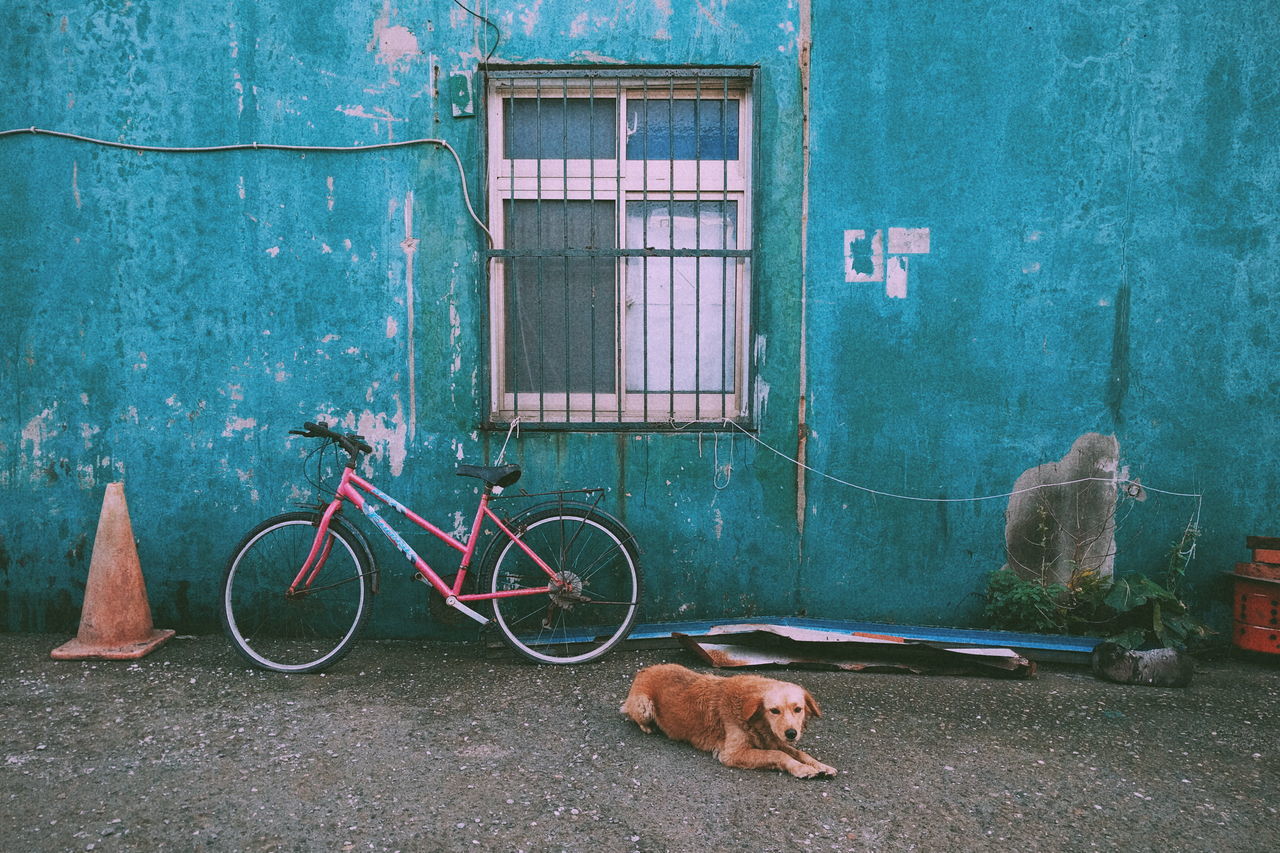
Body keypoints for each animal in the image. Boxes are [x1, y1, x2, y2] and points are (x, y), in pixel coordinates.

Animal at [622, 660, 839, 773]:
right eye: (774, 710)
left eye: (798, 709)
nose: (792, 733)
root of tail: (644, 669)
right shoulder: (732, 754)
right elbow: (778, 755)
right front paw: (802, 769)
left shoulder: (773, 739)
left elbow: (799, 753)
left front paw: (820, 765)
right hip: (644, 706)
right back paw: (648, 727)